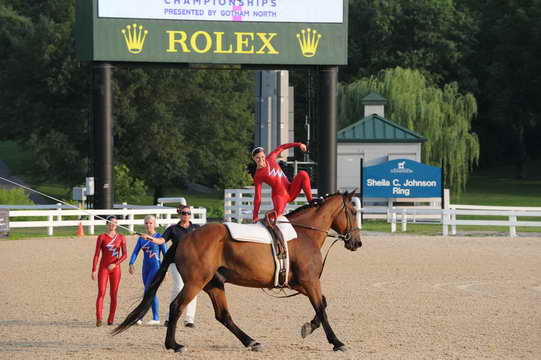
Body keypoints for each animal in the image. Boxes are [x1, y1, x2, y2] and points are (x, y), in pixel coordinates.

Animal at [112, 191, 360, 352]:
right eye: (353, 210)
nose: (356, 242)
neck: (304, 233)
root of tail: (186, 238)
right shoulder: (310, 281)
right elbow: (322, 308)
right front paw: (336, 341)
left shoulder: (300, 283)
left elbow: (323, 304)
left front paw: (308, 327)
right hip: (195, 283)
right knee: (176, 306)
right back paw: (173, 345)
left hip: (214, 284)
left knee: (223, 315)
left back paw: (251, 342)